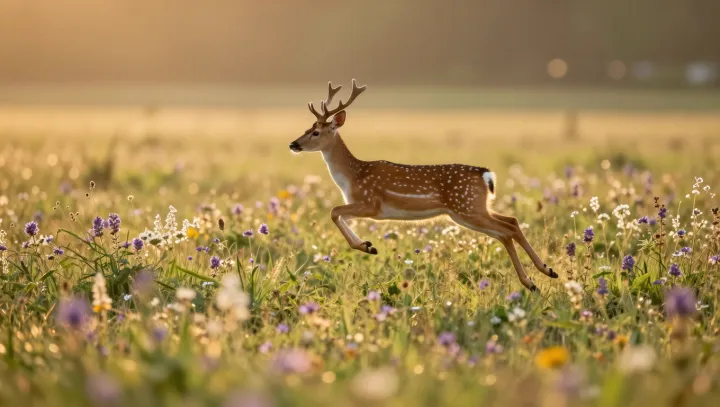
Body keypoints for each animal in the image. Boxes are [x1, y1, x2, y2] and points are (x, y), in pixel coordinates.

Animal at [289, 79, 558, 291]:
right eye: (307, 127)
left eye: (316, 132)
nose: (293, 144)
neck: (352, 176)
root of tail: (486, 175)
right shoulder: (364, 206)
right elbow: (338, 214)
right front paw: (368, 246)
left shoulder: (371, 204)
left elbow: (334, 211)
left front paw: (367, 246)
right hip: (471, 209)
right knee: (510, 223)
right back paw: (544, 274)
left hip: (466, 208)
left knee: (507, 230)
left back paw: (535, 279)